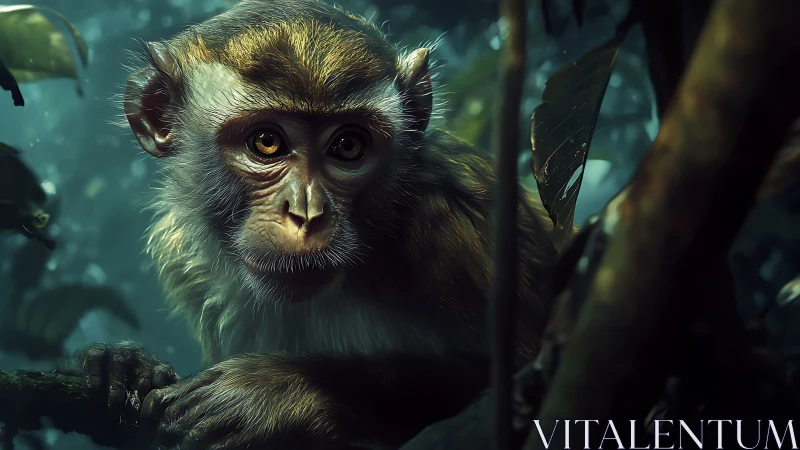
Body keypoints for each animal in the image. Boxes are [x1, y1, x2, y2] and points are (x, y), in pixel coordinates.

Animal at [72, 0, 561, 448]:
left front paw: (279, 393)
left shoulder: (457, 225)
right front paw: (125, 369)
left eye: (347, 146)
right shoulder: (186, 262)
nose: (307, 213)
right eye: (266, 142)